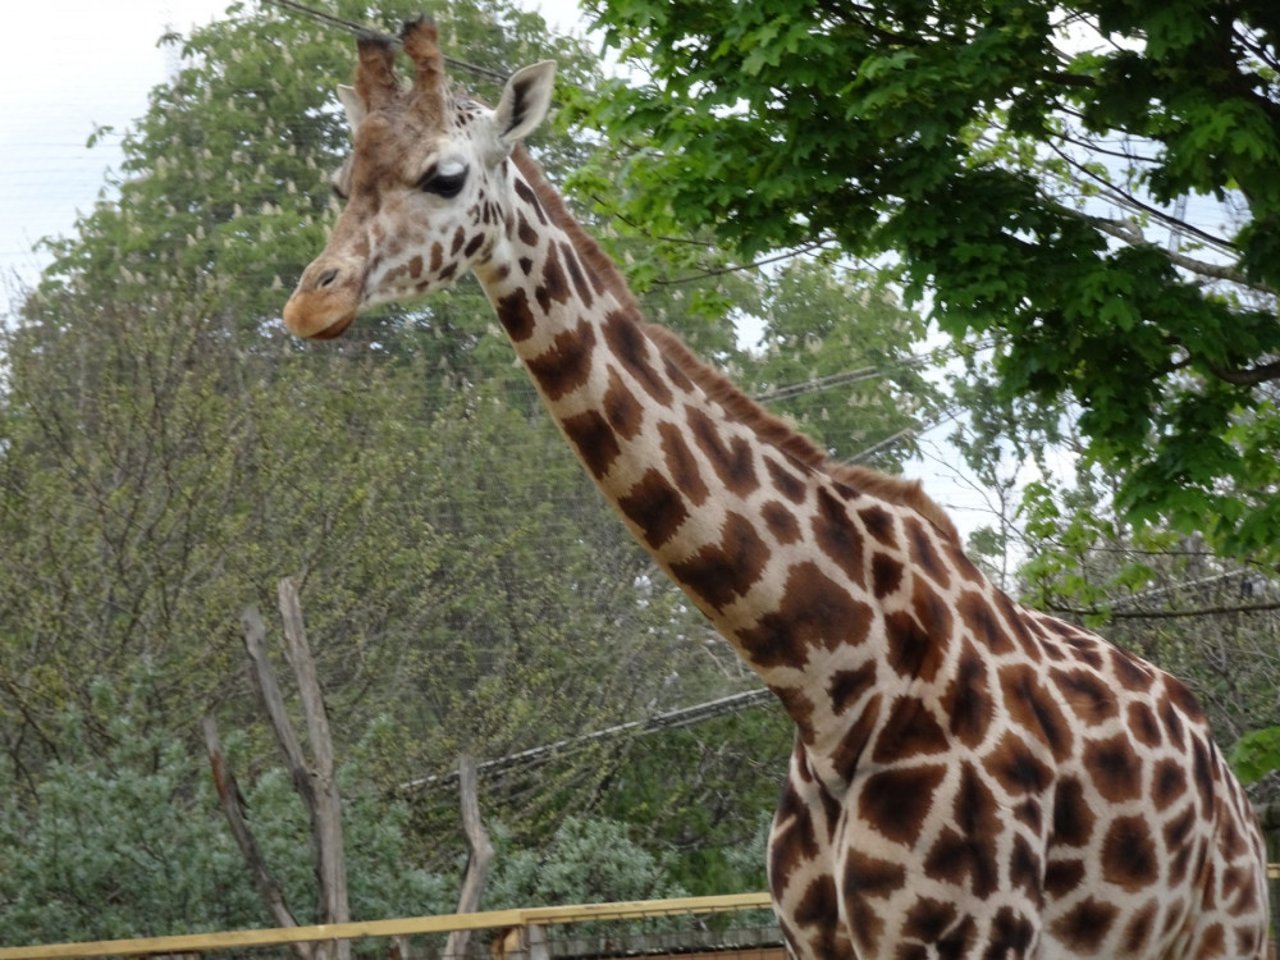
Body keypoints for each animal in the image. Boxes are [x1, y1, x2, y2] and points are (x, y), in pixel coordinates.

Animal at [282, 16, 1269, 960]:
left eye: (447, 176)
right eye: (339, 183)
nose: (310, 303)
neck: (831, 681)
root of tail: (1217, 764)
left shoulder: (969, 937)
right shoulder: (811, 936)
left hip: (1226, 929)